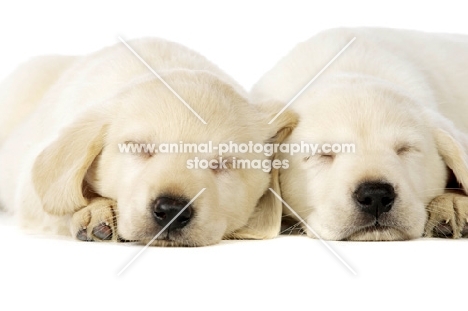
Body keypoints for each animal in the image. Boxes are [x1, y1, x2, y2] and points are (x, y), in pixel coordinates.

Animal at [0, 38, 296, 246]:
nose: (171, 210)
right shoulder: (29, 186)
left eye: (223, 163)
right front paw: (97, 210)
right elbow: (57, 200)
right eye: (138, 147)